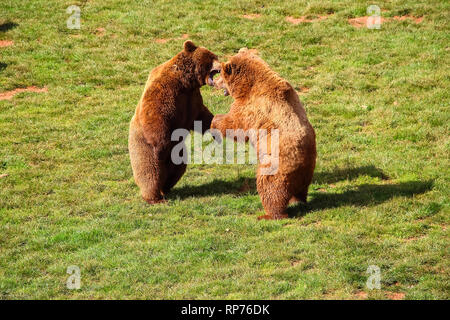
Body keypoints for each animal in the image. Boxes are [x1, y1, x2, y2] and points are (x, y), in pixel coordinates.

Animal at [129, 40, 221, 202]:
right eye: (211, 57)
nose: (221, 65)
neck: (186, 81)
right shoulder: (166, 90)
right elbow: (155, 114)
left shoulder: (191, 98)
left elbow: (201, 116)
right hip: (142, 146)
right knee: (150, 172)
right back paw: (154, 197)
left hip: (178, 152)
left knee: (176, 169)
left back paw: (166, 188)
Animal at [211, 48, 316, 220]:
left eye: (221, 74)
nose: (214, 82)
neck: (248, 86)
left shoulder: (252, 108)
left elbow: (236, 125)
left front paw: (215, 120)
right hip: (307, 172)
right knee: (301, 190)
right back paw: (298, 200)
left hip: (275, 166)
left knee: (269, 187)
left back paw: (269, 215)